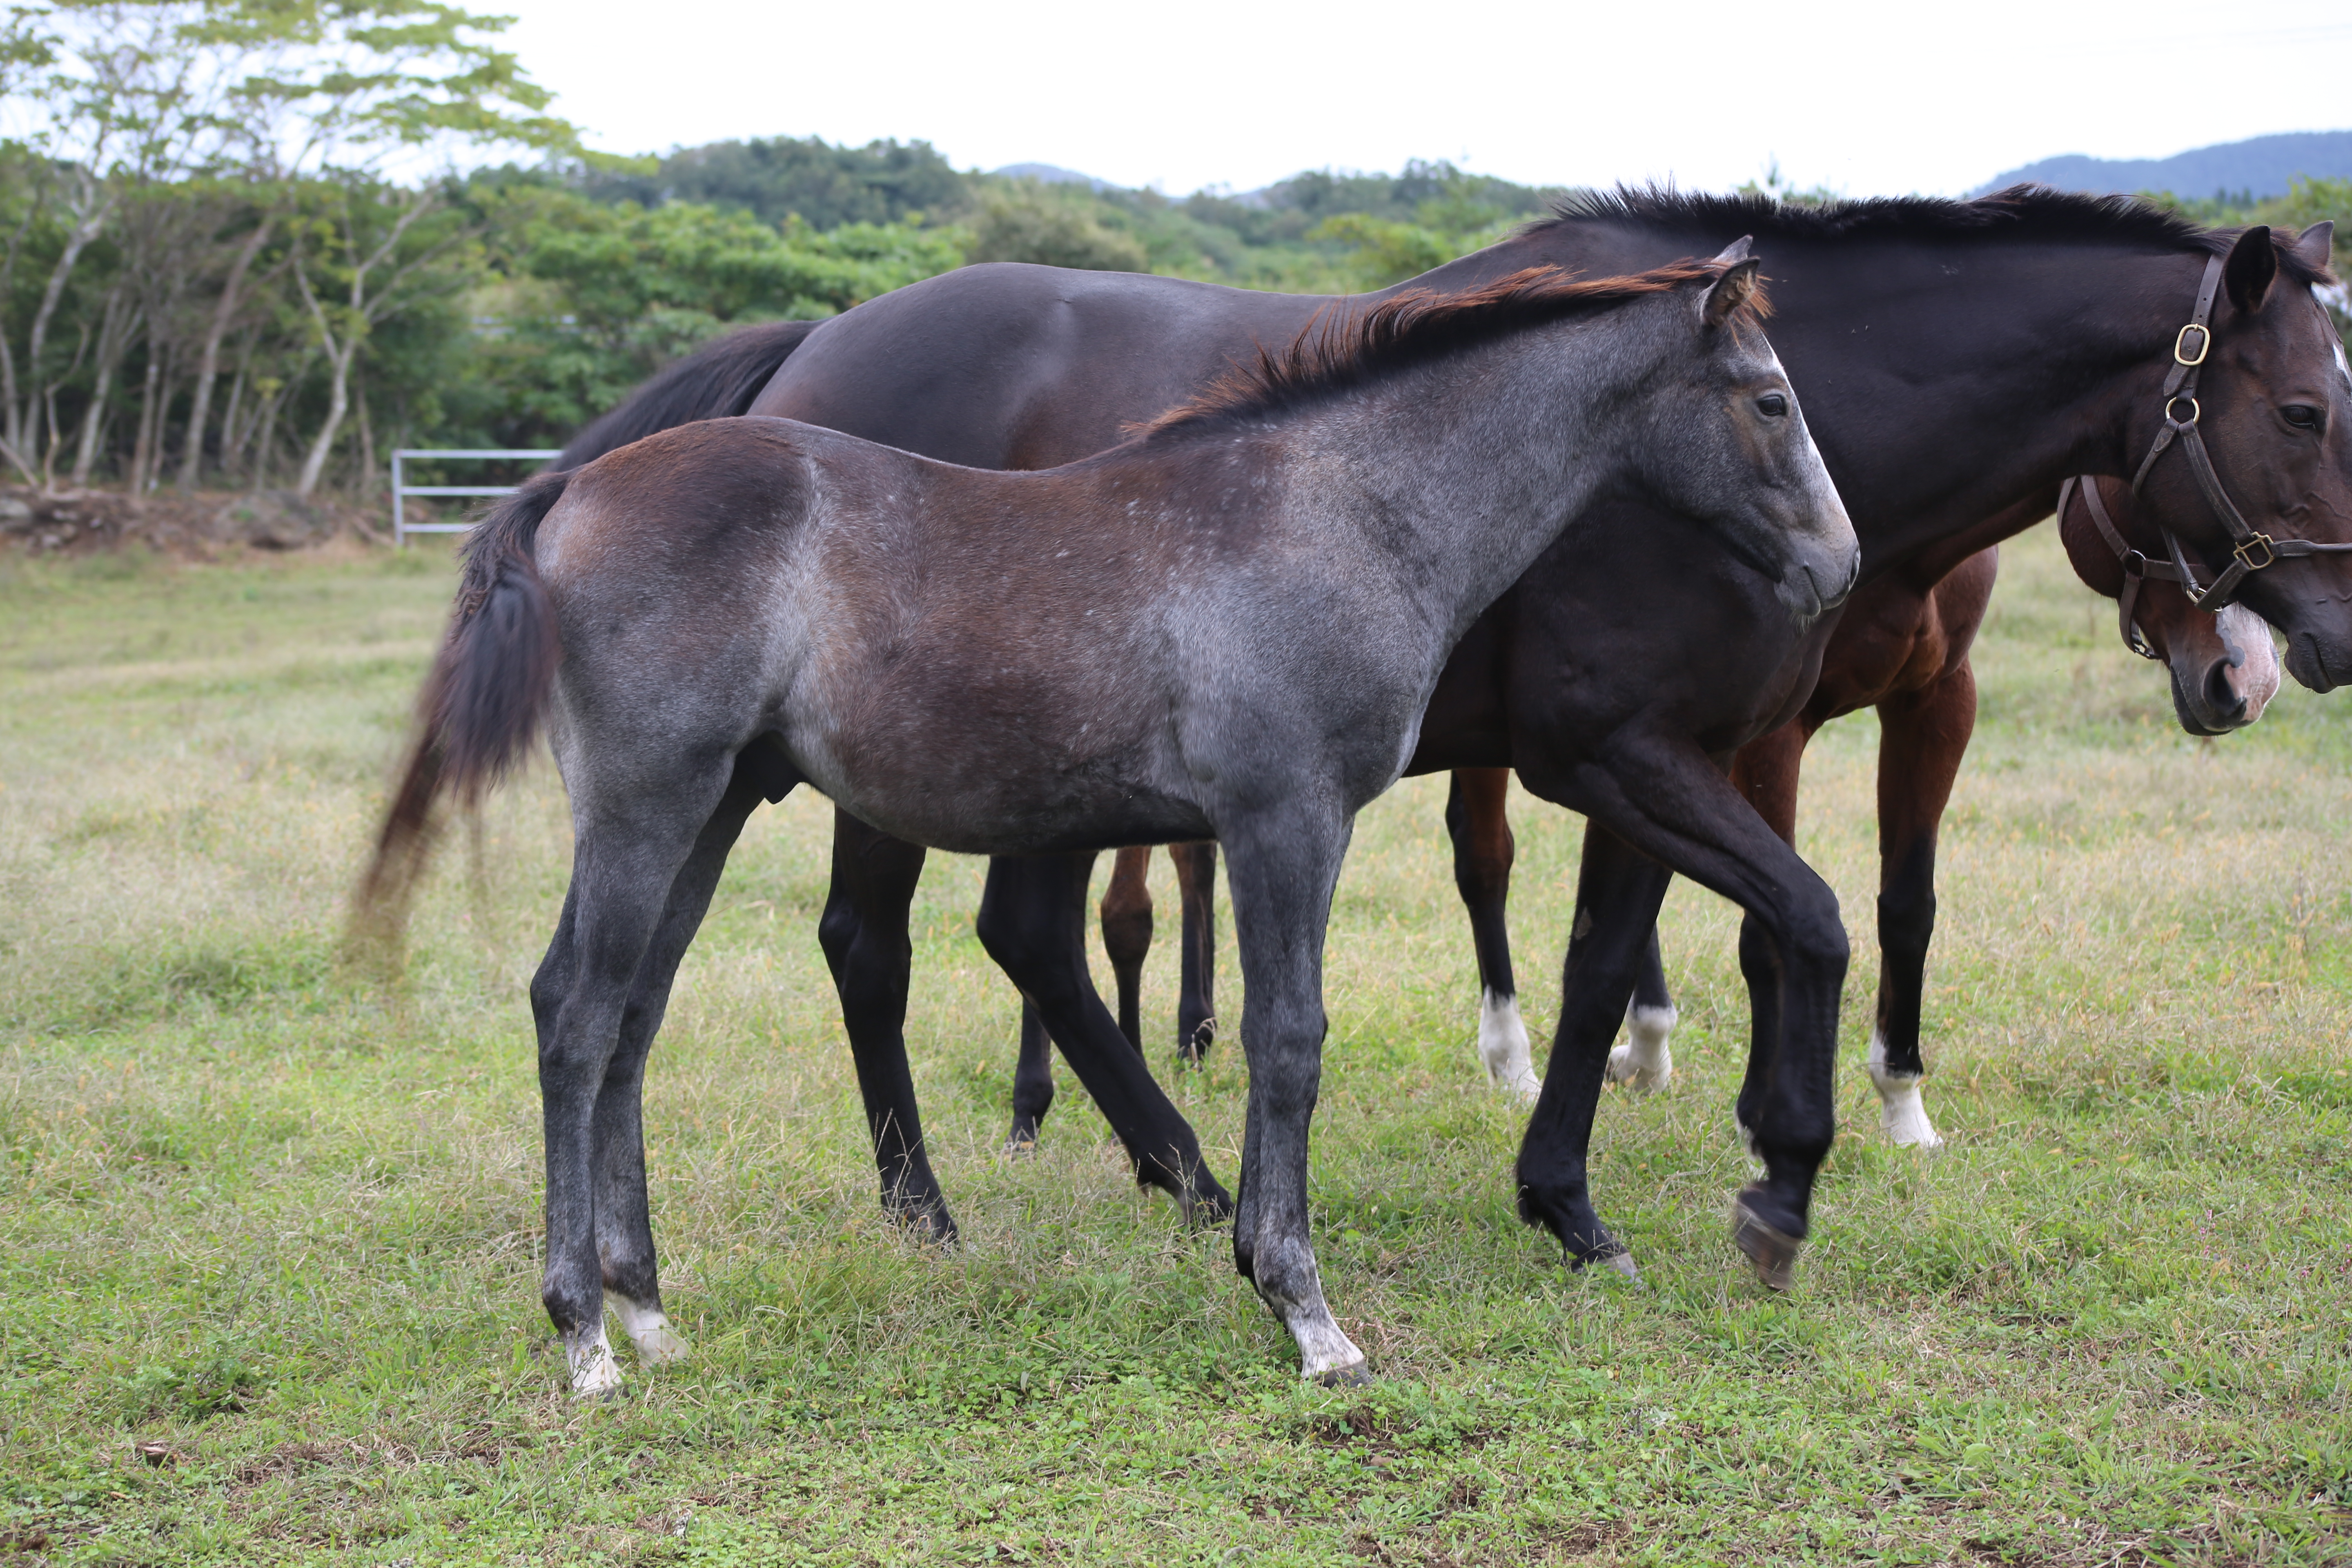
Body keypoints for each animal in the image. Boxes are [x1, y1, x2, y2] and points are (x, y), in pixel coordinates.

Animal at [550, 193, 2352, 1297]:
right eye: (2309, 410)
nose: (2305, 653)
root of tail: (810, 352)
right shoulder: (1619, 750)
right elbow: (1806, 919)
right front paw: (1773, 1180)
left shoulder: (1674, 757)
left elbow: (1620, 961)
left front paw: (1576, 1198)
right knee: (876, 947)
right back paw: (936, 1205)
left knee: (1028, 939)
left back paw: (1181, 1172)